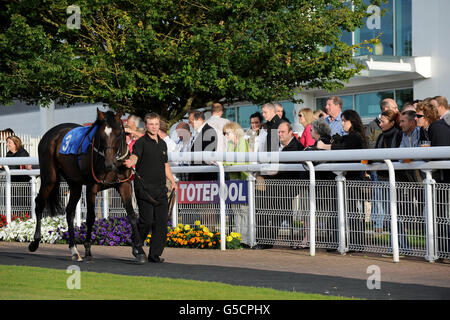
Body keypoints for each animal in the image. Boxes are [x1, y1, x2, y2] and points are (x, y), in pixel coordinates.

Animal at [28, 109, 151, 262]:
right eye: (101, 135)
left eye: (118, 133)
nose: (109, 164)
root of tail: (50, 133)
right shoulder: (92, 187)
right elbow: (91, 217)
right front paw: (87, 250)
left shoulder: (124, 185)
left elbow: (132, 215)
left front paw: (140, 251)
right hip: (49, 177)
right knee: (39, 203)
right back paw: (35, 242)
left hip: (74, 183)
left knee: (70, 211)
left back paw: (74, 250)